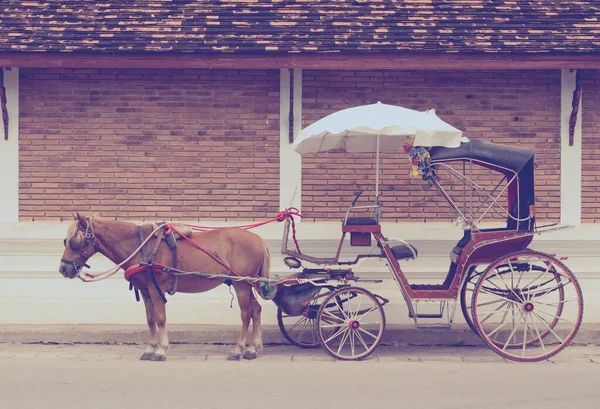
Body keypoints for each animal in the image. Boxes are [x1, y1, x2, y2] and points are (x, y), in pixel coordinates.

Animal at [58, 214, 270, 360]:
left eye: (76, 240)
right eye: (66, 240)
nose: (63, 268)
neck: (140, 246)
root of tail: (258, 239)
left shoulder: (155, 287)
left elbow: (160, 318)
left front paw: (161, 350)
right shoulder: (145, 291)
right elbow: (150, 319)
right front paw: (150, 348)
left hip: (241, 283)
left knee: (246, 314)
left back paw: (238, 349)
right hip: (248, 283)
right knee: (256, 309)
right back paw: (253, 348)